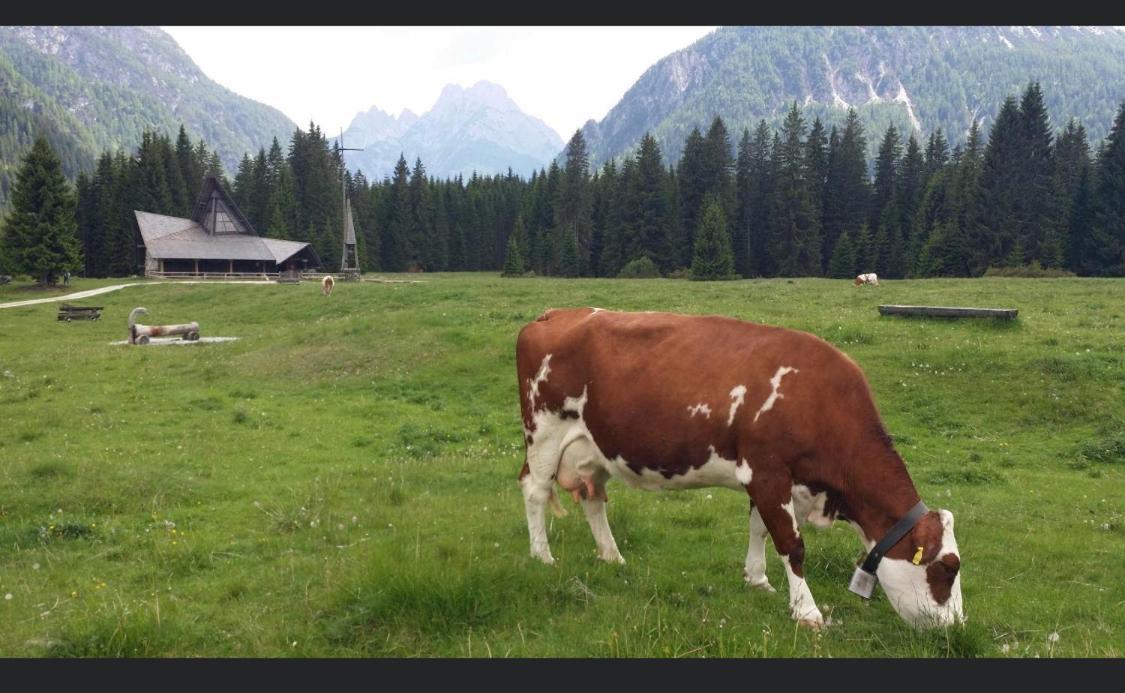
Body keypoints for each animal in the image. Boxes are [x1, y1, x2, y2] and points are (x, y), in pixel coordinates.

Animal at [515, 308, 963, 630]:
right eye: (948, 568)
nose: (956, 628)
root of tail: (556, 314)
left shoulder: (773, 481)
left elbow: (759, 529)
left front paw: (757, 579)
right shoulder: (767, 473)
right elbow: (792, 544)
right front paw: (807, 612)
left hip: (594, 447)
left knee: (593, 498)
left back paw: (612, 556)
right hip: (545, 432)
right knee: (535, 490)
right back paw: (542, 556)